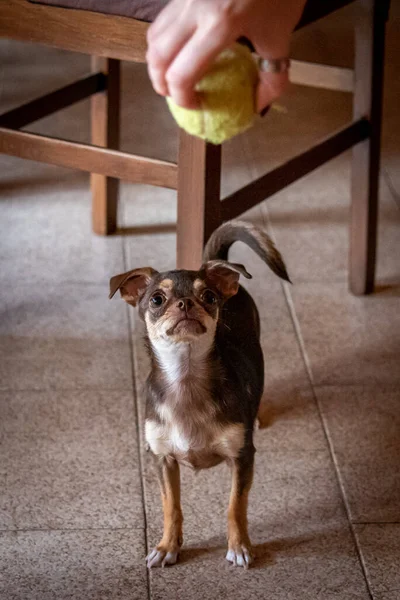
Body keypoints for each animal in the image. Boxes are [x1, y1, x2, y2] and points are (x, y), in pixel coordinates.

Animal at [109, 220, 290, 568]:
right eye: (156, 299)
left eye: (208, 296)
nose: (185, 303)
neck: (186, 378)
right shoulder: (162, 459)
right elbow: (171, 507)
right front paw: (167, 547)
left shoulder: (242, 457)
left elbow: (235, 505)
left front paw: (239, 546)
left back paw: (256, 415)